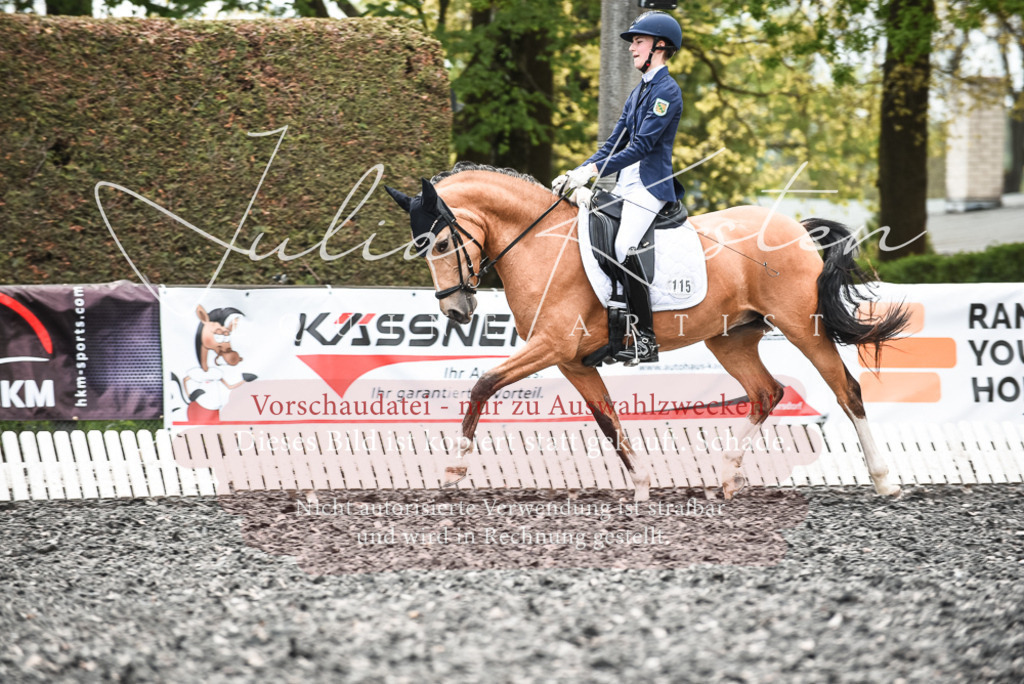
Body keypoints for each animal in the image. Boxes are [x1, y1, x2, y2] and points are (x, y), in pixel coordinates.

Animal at [385, 163, 909, 502]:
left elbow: (483, 384)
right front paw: (640, 486)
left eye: (443, 243)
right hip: (730, 338)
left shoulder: (550, 346)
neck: (540, 244)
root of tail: (797, 230)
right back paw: (726, 478)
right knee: (766, 393)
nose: (456, 310)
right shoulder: (571, 361)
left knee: (847, 391)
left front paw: (453, 469)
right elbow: (608, 421)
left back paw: (885, 481)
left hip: (803, 328)